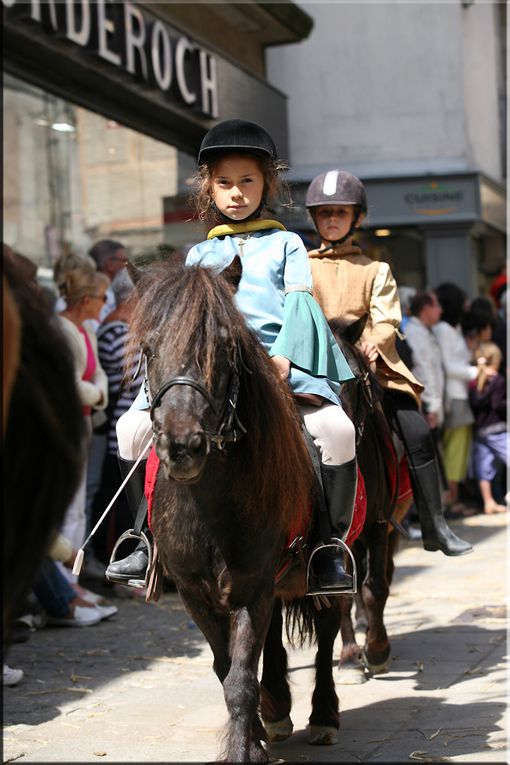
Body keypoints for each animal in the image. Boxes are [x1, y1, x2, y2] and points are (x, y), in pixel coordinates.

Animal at [129, 255, 348, 760]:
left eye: (225, 346)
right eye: (149, 348)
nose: (183, 446)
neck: (209, 508)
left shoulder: (252, 587)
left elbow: (241, 681)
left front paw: (244, 748)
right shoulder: (196, 592)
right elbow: (226, 667)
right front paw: (256, 736)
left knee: (329, 630)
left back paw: (323, 717)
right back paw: (278, 711)